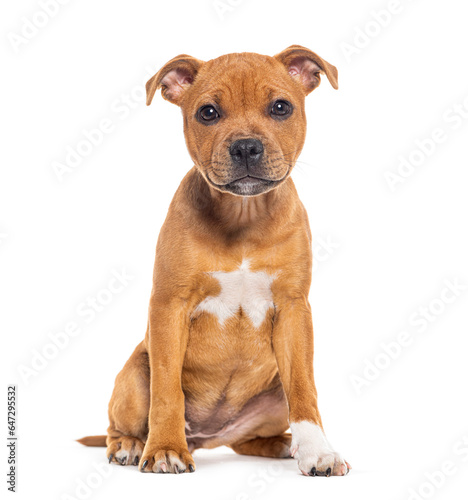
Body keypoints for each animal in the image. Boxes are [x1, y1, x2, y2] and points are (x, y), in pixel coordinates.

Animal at [78, 46, 352, 476]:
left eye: (280, 107)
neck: (243, 216)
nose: (246, 147)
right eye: (208, 112)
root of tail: (208, 437)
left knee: (247, 440)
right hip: (135, 373)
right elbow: (168, 390)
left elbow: (305, 389)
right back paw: (132, 445)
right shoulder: (169, 306)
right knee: (119, 423)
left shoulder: (294, 309)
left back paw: (282, 444)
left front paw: (316, 450)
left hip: (271, 397)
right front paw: (165, 449)